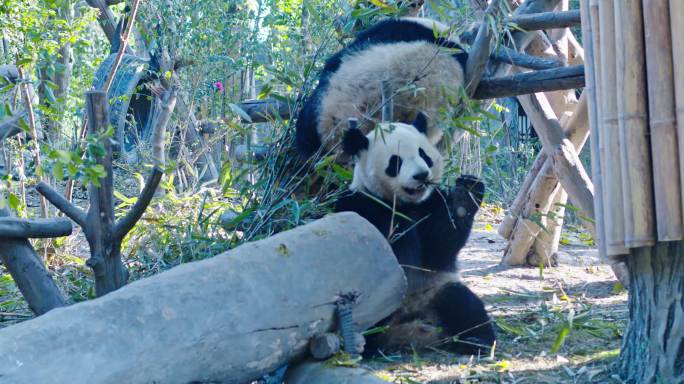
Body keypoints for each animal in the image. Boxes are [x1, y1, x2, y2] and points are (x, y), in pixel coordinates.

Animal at [334, 112, 494, 356]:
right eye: (395, 162)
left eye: (424, 155)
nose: (421, 175)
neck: (405, 205)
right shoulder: (361, 204)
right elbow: (382, 253)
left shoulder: (432, 203)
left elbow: (438, 250)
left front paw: (464, 199)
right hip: (379, 303)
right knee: (371, 313)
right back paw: (372, 342)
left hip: (435, 290)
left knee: (462, 302)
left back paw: (476, 340)